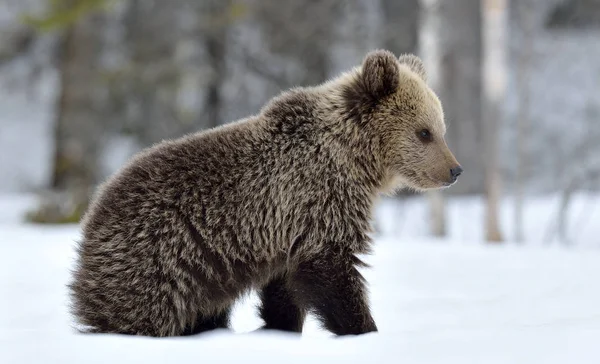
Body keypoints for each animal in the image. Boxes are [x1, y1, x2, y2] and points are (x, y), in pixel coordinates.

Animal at [71, 49, 464, 336]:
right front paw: (362, 327)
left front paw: (282, 326)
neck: (354, 159)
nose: (455, 170)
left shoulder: (285, 227)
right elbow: (333, 272)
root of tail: (93, 214)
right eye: (424, 132)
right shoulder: (319, 200)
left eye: (441, 128)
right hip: (159, 260)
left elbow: (285, 288)